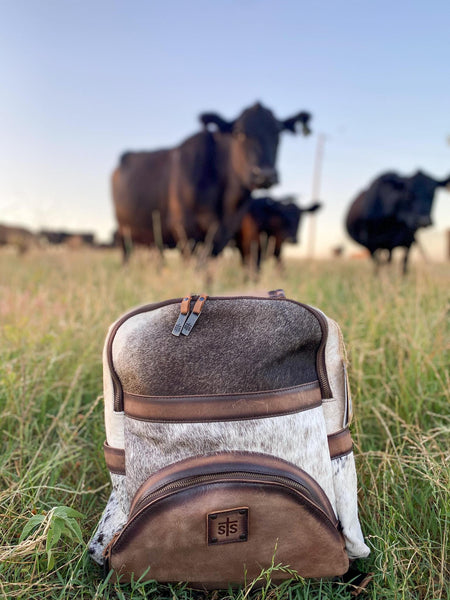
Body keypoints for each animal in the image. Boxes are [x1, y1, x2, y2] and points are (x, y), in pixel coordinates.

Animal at [111, 102, 312, 262]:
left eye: (278, 133)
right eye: (239, 133)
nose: (264, 175)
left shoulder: (222, 237)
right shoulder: (186, 232)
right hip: (125, 232)